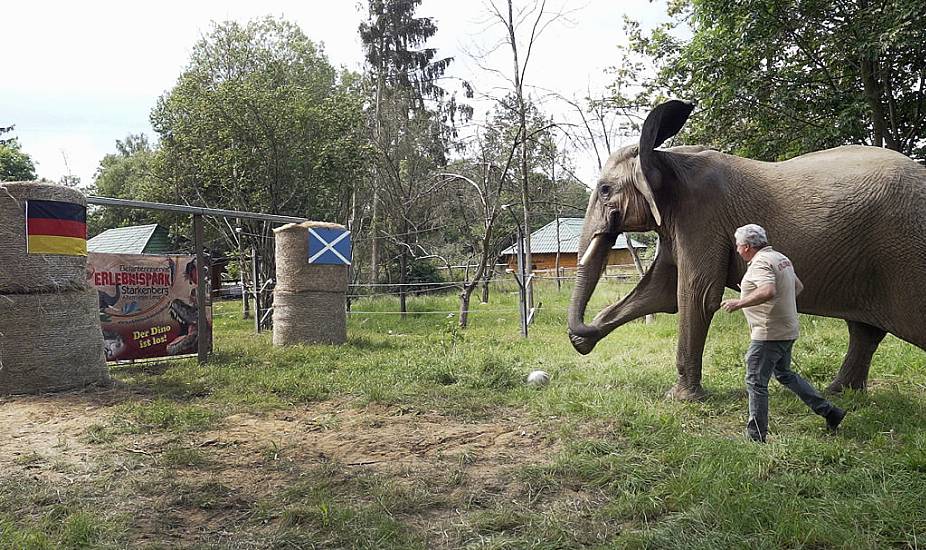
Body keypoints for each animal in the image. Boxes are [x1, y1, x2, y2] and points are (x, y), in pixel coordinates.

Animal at [568, 99, 926, 402]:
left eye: (604, 190)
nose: (581, 331)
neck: (665, 155)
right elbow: (661, 291)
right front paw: (584, 338)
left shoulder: (702, 217)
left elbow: (696, 294)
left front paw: (679, 399)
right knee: (864, 332)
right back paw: (839, 393)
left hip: (906, 252)